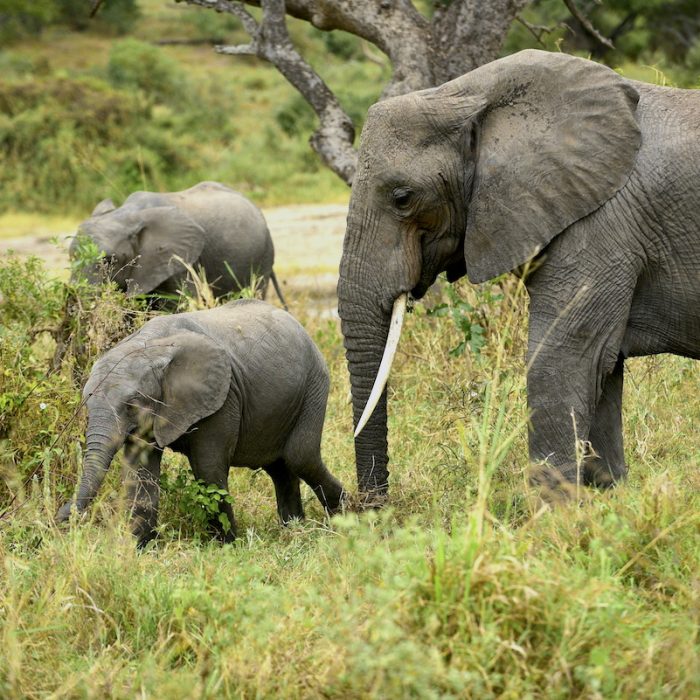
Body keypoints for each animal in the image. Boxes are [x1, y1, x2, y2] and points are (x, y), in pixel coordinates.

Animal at [56, 298, 344, 544]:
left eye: (131, 405)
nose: (59, 517)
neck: (151, 347)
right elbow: (140, 472)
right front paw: (138, 548)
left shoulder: (222, 397)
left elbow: (207, 469)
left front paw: (226, 545)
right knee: (279, 467)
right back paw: (295, 529)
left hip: (315, 383)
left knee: (299, 456)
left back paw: (344, 515)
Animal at [336, 49, 696, 500]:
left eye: (403, 198)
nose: (371, 507)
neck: (467, 94)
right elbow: (604, 365)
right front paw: (604, 496)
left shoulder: (601, 225)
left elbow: (562, 358)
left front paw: (550, 512)